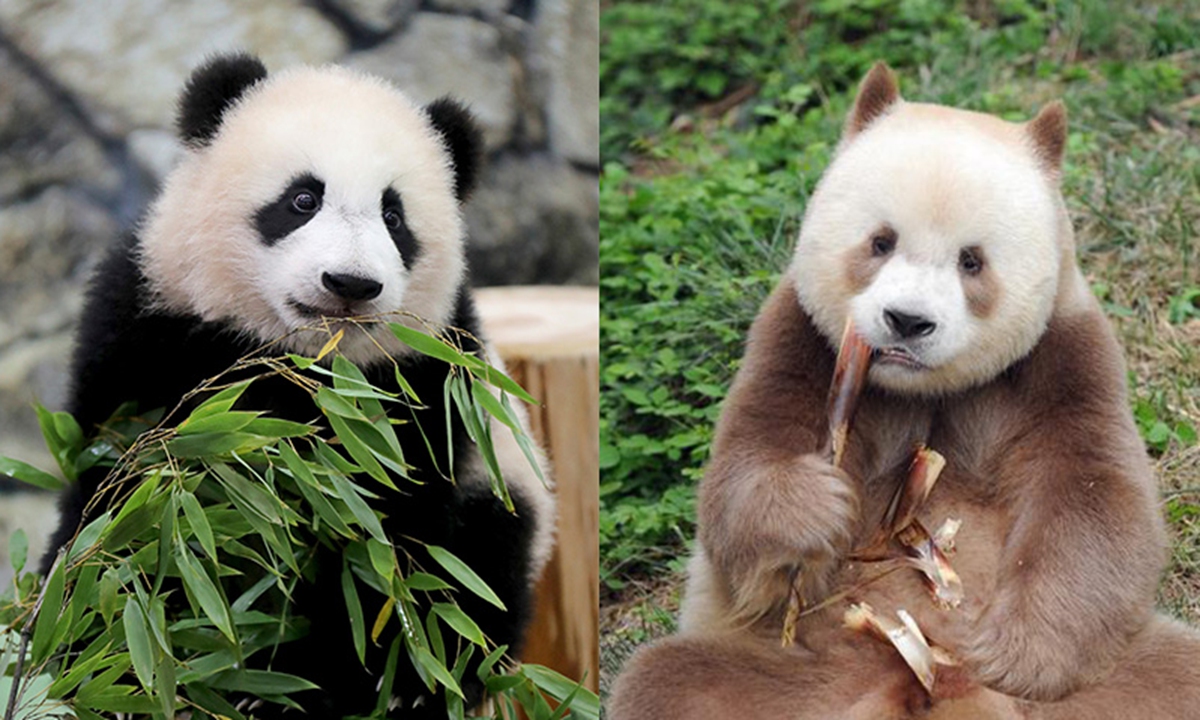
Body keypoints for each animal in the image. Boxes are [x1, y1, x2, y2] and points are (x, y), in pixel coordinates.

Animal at [41, 53, 556, 715]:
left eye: (394, 217)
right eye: (303, 198)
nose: (350, 284)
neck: (302, 362)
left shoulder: (421, 385)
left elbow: (378, 545)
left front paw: (320, 681)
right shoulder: (153, 328)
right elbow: (128, 507)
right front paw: (111, 654)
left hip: (501, 494)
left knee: (479, 573)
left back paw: (416, 689)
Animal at [609, 63, 1200, 720]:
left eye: (972, 261)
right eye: (881, 241)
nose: (907, 321)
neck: (925, 388)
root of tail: (928, 687)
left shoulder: (1062, 359)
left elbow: (1092, 499)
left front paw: (1017, 655)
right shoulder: (804, 341)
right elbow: (745, 468)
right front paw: (815, 510)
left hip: (1107, 685)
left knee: (1174, 677)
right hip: (798, 678)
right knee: (672, 682)